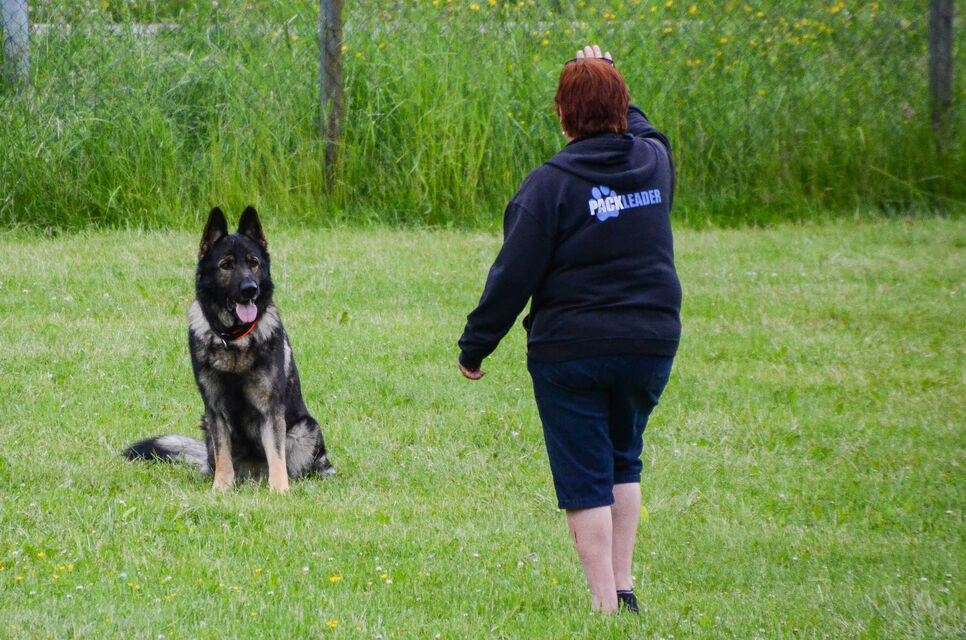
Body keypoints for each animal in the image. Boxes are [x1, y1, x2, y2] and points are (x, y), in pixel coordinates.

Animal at [124, 206, 333, 492]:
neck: (234, 339)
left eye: (253, 263)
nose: (250, 290)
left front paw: (279, 490)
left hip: (305, 428)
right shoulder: (215, 410)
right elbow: (223, 454)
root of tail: (255, 473)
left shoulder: (271, 411)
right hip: (207, 426)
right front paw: (221, 487)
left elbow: (276, 454)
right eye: (227, 265)